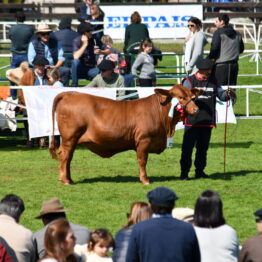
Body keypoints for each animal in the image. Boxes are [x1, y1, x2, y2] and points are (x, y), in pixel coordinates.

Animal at [49, 85, 199, 185]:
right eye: (181, 97)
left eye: (192, 97)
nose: (196, 109)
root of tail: (70, 94)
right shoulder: (143, 140)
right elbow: (142, 161)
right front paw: (145, 180)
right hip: (70, 137)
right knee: (65, 156)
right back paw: (65, 180)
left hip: (71, 140)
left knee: (68, 158)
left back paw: (69, 179)